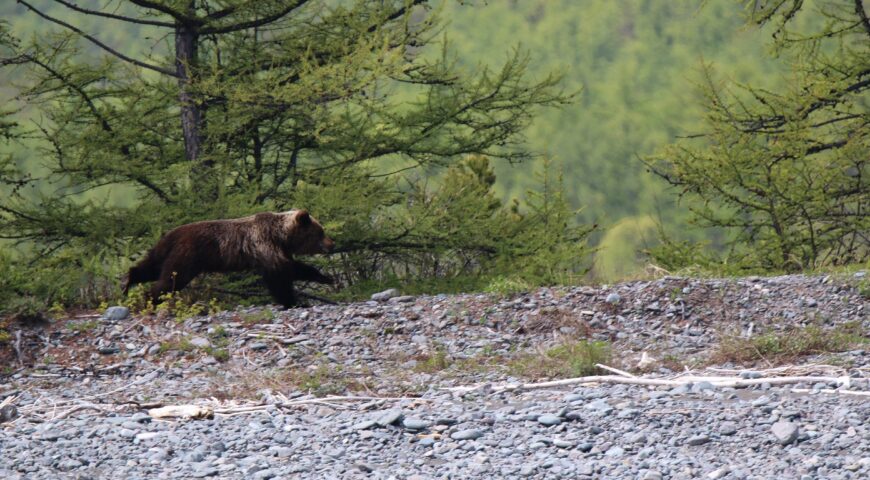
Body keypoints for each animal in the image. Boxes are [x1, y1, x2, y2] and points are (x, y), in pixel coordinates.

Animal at [122, 210, 335, 308]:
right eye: (320, 232)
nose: (332, 244)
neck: (281, 235)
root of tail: (170, 235)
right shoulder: (264, 244)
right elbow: (280, 275)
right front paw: (294, 301)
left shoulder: (278, 249)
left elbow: (293, 267)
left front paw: (325, 277)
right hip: (187, 254)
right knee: (171, 280)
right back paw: (149, 299)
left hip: (165, 251)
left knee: (150, 267)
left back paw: (127, 280)